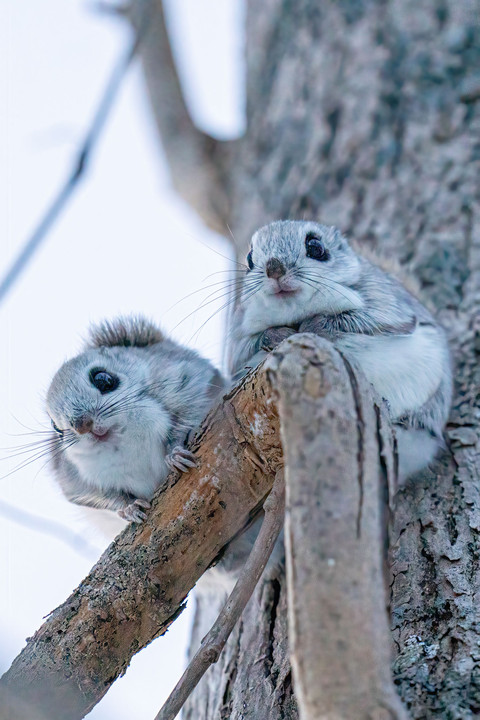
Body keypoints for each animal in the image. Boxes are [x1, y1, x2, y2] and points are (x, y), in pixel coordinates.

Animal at [231, 221, 452, 484]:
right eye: (249, 258)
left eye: (316, 247)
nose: (274, 268)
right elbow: (248, 347)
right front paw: (276, 335)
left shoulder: (385, 302)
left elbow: (365, 319)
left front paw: (315, 324)